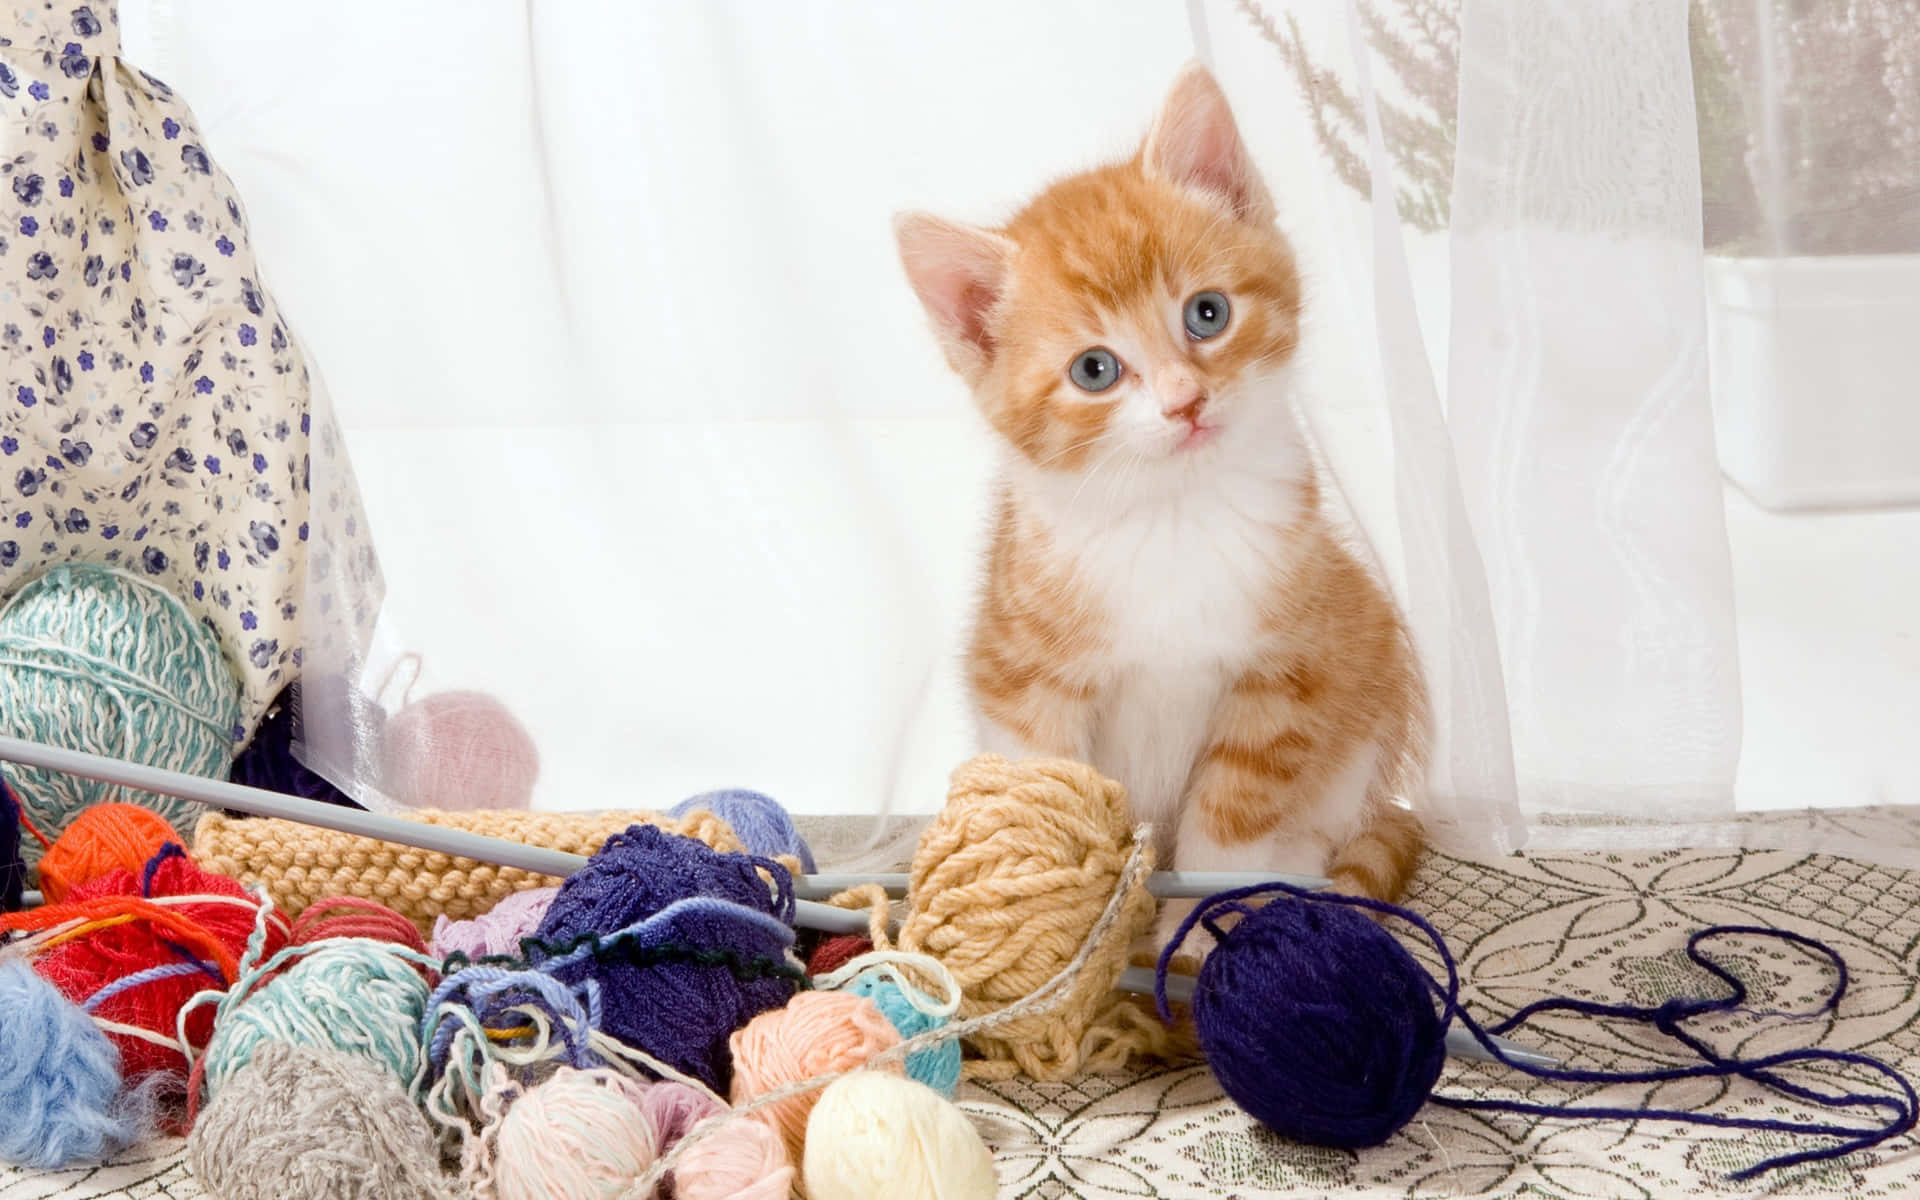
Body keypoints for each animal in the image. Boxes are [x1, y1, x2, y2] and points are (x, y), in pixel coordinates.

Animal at [894, 63, 1428, 944]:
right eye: (1095, 370)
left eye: (1207, 314)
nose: (1185, 402)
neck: (1169, 514)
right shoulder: (1024, 681)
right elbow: (1046, 789)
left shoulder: (1289, 672)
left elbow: (1232, 819)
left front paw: (1200, 931)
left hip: (1370, 662)